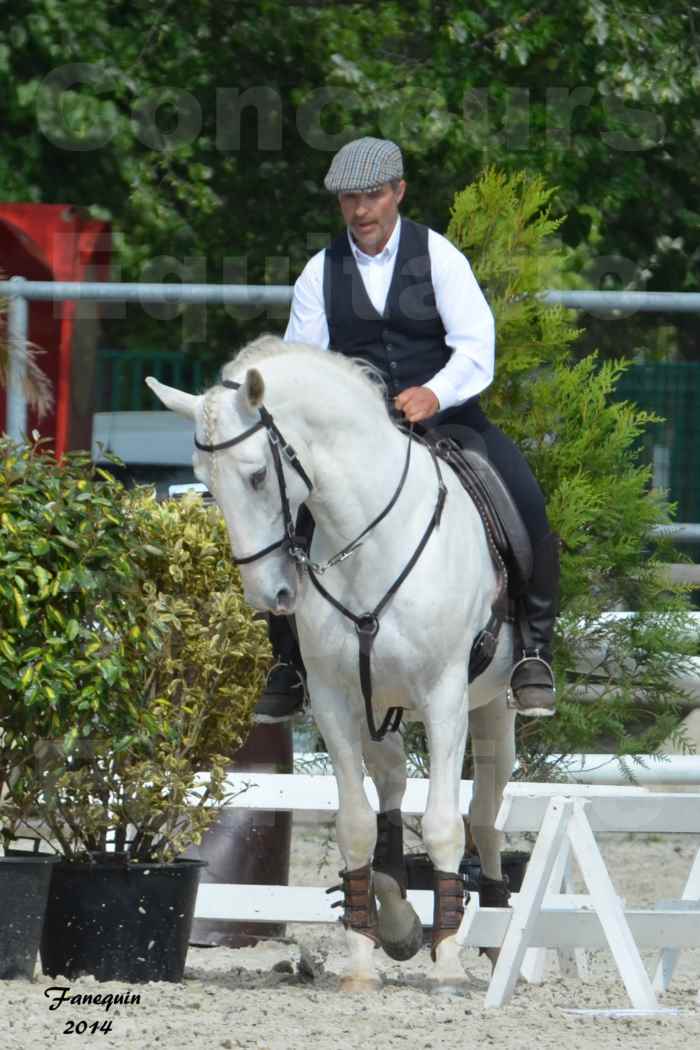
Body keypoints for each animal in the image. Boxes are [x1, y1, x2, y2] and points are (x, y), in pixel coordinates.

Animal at [147, 333, 518, 991]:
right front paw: (363, 962)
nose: (270, 595)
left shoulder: (445, 698)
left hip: (493, 703)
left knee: (485, 813)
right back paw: (397, 914)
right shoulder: (335, 701)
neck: (368, 537)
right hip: (382, 703)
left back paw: (493, 935)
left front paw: (447, 962)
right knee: (393, 786)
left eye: (257, 475)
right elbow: (355, 825)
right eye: (203, 481)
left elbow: (445, 823)